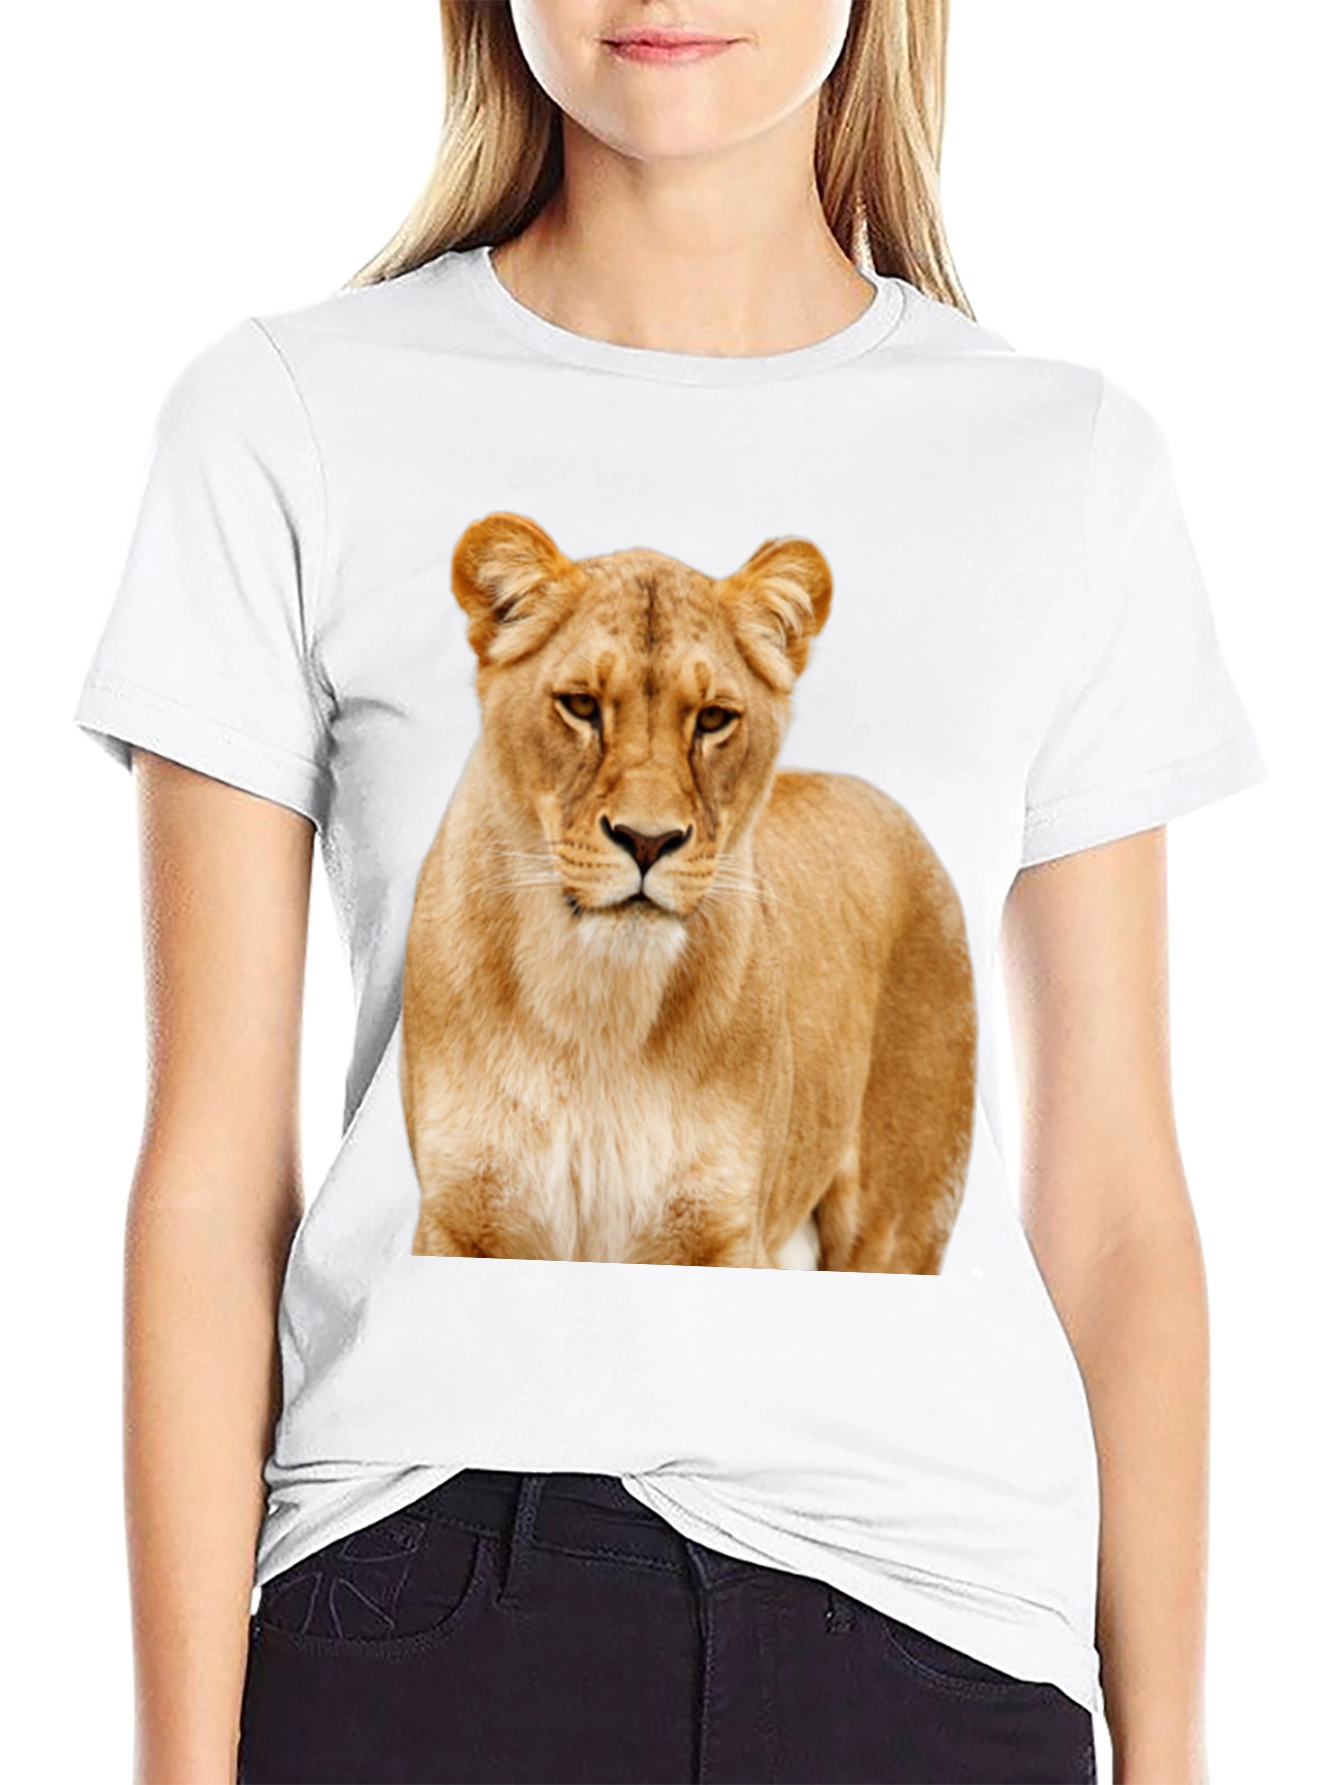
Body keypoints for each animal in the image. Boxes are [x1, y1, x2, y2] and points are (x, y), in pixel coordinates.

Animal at [400, 512, 977, 1272]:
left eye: (712, 719)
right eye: (581, 705)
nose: (647, 841)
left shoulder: (724, 1233)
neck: (596, 1007)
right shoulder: (456, 1219)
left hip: (894, 1228)